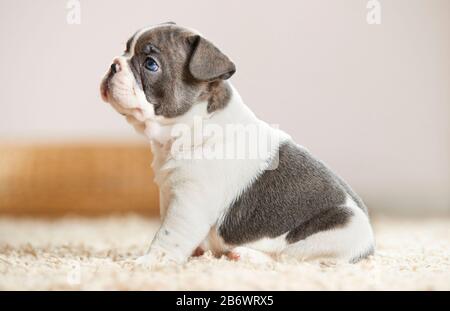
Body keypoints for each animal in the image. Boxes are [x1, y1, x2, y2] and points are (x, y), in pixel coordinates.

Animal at [100, 23, 374, 264]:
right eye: (126, 49)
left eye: (150, 64)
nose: (113, 65)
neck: (193, 126)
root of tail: (368, 246)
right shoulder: (168, 193)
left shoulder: (189, 203)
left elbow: (168, 236)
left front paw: (146, 262)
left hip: (336, 230)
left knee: (289, 259)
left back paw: (249, 255)